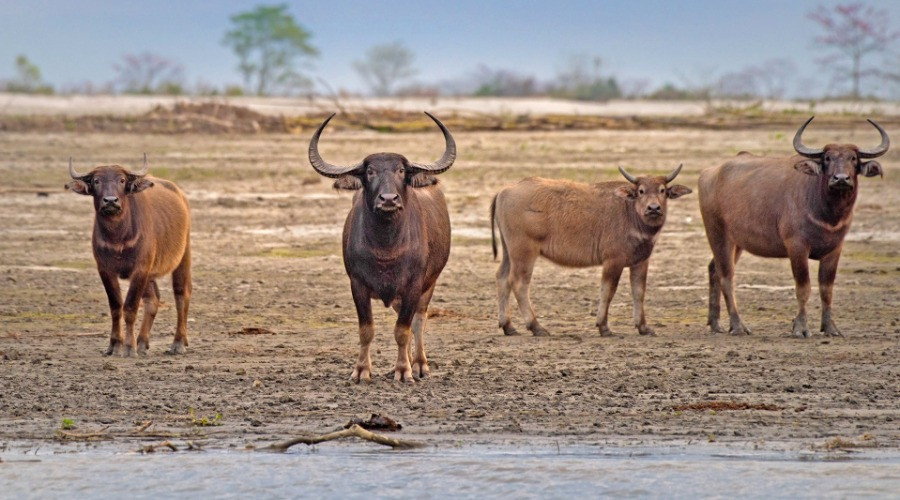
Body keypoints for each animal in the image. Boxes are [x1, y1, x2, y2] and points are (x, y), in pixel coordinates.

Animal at [66, 155, 192, 355]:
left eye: (122, 180)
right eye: (96, 180)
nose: (110, 201)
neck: (118, 238)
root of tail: (181, 196)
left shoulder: (140, 269)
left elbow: (130, 307)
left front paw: (128, 347)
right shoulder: (105, 270)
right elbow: (116, 307)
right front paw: (114, 345)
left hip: (183, 256)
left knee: (181, 294)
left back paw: (178, 343)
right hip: (150, 274)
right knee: (153, 299)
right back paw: (142, 342)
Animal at [308, 112, 454, 382]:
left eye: (401, 170)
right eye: (370, 171)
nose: (388, 199)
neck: (386, 249)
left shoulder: (413, 285)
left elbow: (403, 329)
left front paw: (404, 370)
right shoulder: (357, 284)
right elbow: (367, 330)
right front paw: (361, 370)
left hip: (429, 284)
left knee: (419, 320)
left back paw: (419, 364)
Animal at [491, 165, 691, 336]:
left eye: (662, 190)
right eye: (641, 190)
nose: (654, 208)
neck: (630, 213)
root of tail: (505, 190)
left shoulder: (641, 261)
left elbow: (639, 292)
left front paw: (643, 327)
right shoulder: (613, 261)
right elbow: (608, 291)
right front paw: (604, 327)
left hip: (509, 252)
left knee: (502, 278)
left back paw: (508, 326)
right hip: (524, 252)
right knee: (519, 283)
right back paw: (536, 327)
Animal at [699, 117, 888, 337]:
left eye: (853, 158)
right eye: (827, 158)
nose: (841, 179)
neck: (826, 214)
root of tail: (709, 173)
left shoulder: (835, 249)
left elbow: (827, 290)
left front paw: (830, 328)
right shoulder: (796, 247)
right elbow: (803, 288)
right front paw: (801, 328)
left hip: (737, 242)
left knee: (714, 269)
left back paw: (716, 324)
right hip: (718, 235)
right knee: (726, 277)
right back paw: (737, 326)